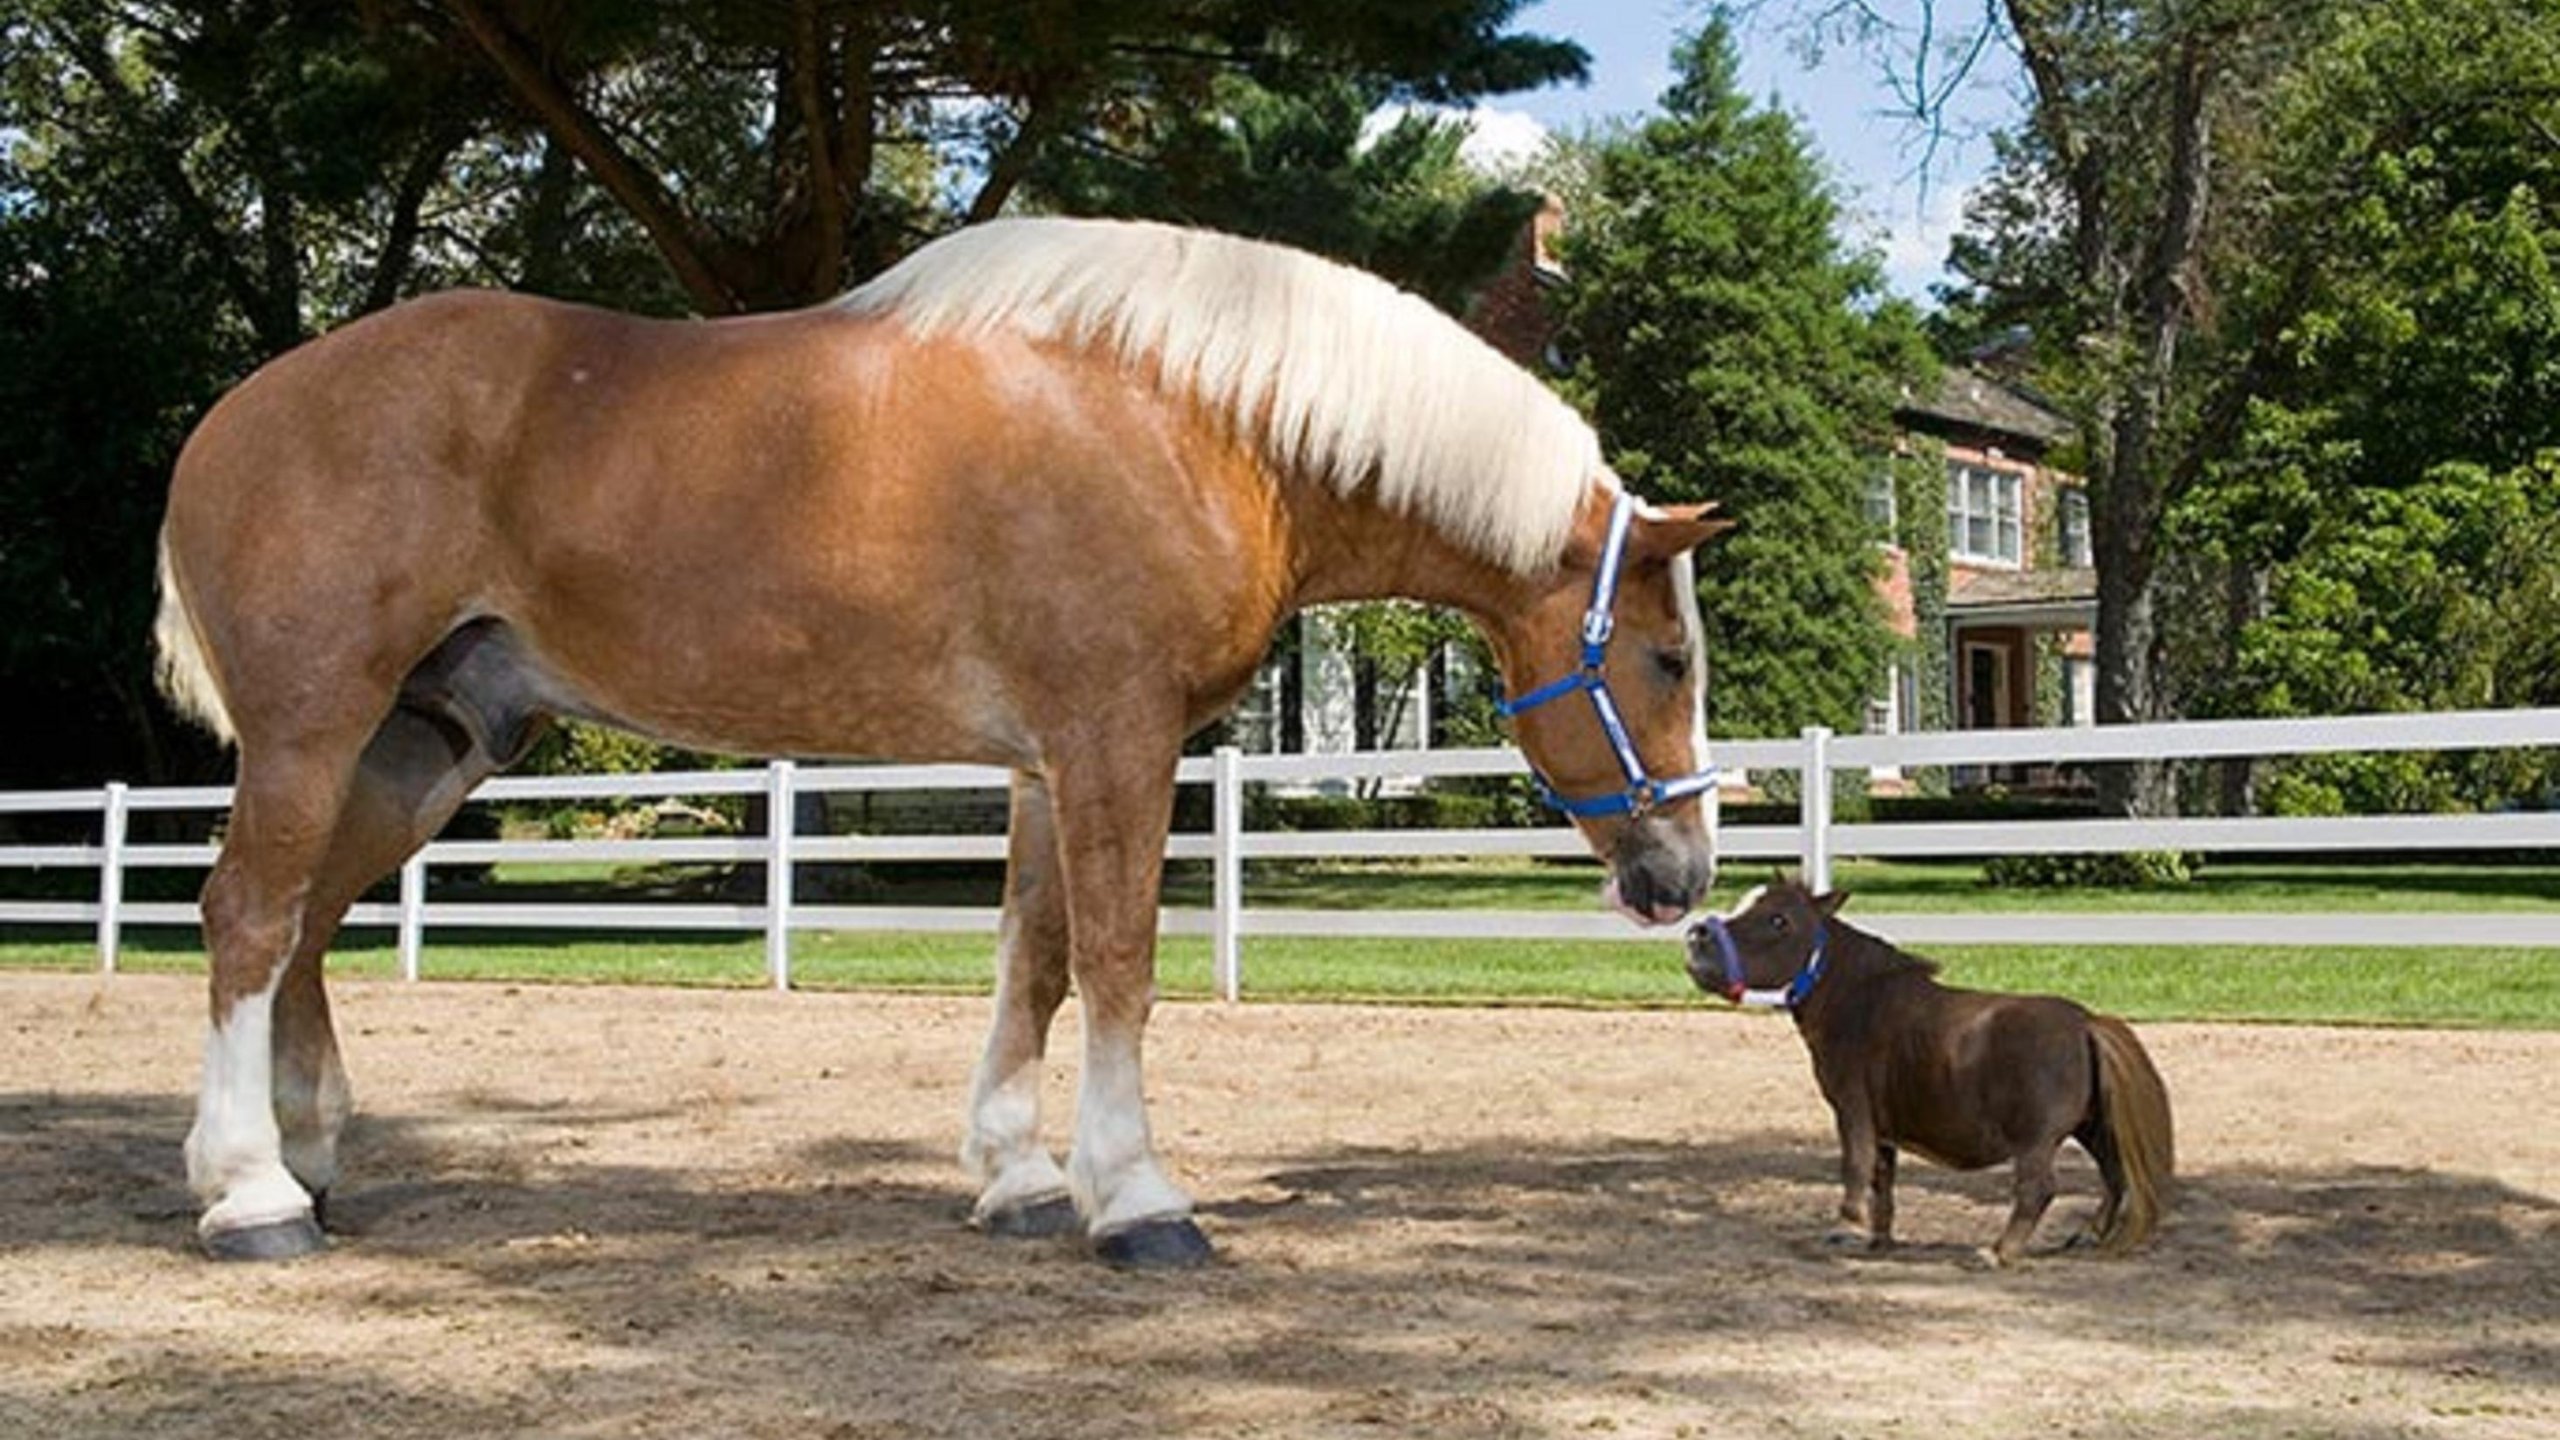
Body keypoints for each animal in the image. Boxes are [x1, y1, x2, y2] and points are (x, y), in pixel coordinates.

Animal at [149, 212, 1730, 1255]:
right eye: (1665, 657)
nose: (1684, 880)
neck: (1201, 423)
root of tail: (232, 415)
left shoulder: (1047, 763)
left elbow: (1035, 964)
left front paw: (1022, 1179)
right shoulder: (1116, 740)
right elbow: (1118, 964)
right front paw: (1135, 1197)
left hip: (432, 740)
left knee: (311, 916)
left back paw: (308, 1157)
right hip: (312, 728)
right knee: (249, 914)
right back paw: (249, 1196)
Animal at [1689, 871, 2170, 1260]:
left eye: (1779, 920)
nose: (1697, 936)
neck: (1857, 1001)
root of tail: (2087, 1023)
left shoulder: (1852, 1108)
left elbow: (1855, 1166)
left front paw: (1847, 1227)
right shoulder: (1883, 1125)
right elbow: (1882, 1178)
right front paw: (1879, 1239)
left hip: (2036, 1139)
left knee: (2040, 1190)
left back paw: (1999, 1251)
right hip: (2090, 1126)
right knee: (2114, 1174)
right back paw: (2087, 1236)